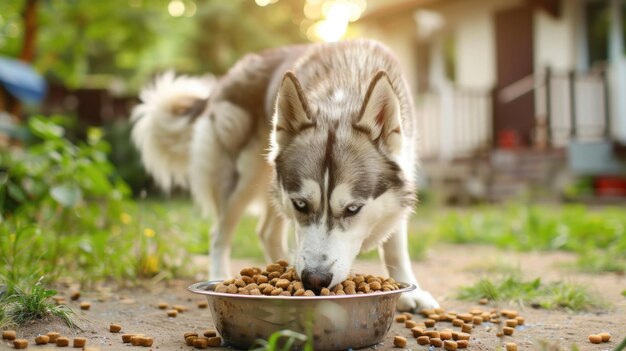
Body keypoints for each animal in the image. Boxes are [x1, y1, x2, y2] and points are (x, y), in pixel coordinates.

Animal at [130, 39, 434, 310]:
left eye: (353, 209)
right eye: (301, 205)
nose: (314, 280)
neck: (343, 93)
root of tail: (227, 77)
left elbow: (395, 248)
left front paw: (410, 291)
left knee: (267, 233)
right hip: (244, 178)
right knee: (219, 235)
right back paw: (222, 275)